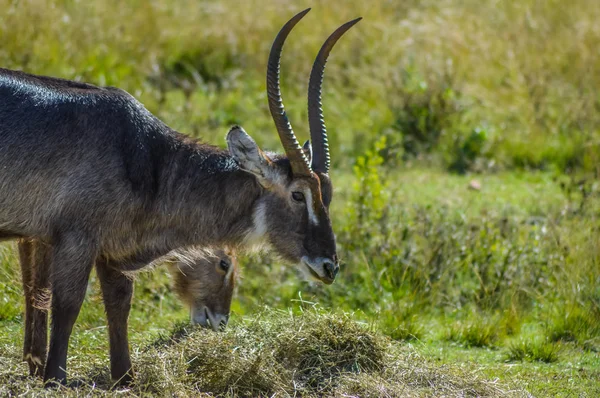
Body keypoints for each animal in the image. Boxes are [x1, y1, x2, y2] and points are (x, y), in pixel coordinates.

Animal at [0, 8, 358, 382]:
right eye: (298, 195)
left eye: (328, 194)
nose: (329, 266)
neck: (150, 159)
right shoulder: (75, 238)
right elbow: (66, 304)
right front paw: (54, 378)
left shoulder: (112, 250)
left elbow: (118, 305)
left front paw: (124, 379)